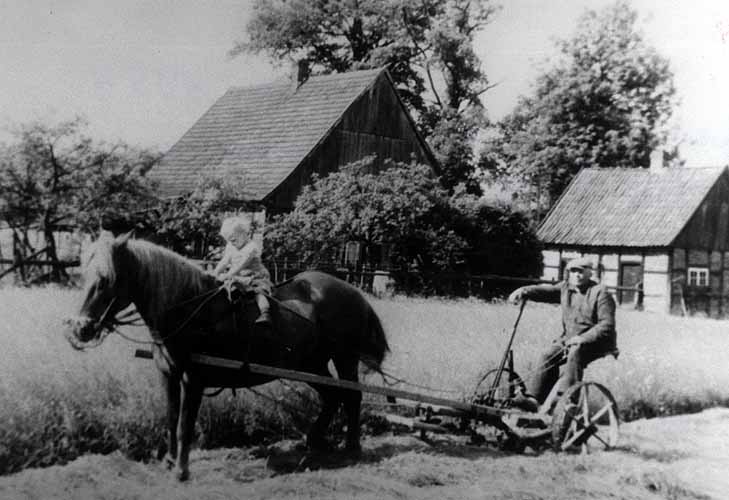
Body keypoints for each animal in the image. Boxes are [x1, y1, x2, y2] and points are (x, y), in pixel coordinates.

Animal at [65, 234, 390, 480]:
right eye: (84, 276)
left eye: (106, 280)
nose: (80, 328)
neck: (187, 308)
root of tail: (355, 293)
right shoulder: (168, 375)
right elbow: (170, 418)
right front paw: (168, 462)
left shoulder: (193, 380)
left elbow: (184, 424)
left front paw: (181, 471)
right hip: (311, 363)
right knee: (332, 396)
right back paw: (315, 441)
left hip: (344, 358)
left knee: (352, 396)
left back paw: (351, 445)